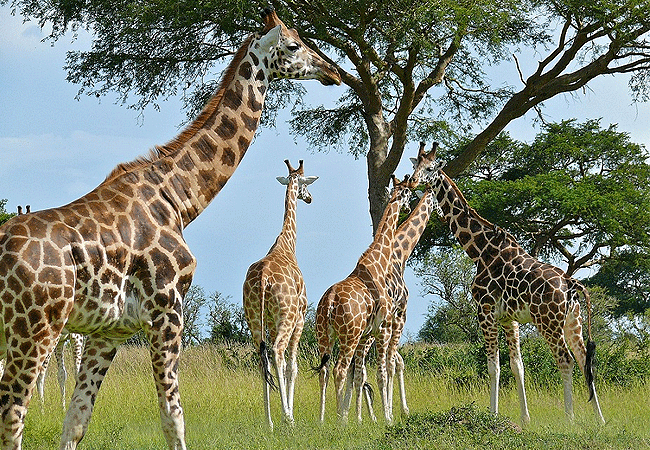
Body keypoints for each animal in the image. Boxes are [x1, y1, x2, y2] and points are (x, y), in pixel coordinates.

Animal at [242, 158, 316, 428]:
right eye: (305, 183)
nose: (310, 198)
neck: (287, 243)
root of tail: (264, 278)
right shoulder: (301, 317)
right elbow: (292, 365)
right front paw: (290, 413)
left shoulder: (271, 321)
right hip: (287, 315)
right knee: (277, 352)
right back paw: (286, 418)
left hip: (253, 315)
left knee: (262, 356)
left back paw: (269, 421)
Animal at [312, 174, 416, 424]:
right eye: (408, 192)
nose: (409, 206)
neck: (376, 262)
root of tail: (329, 303)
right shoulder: (383, 327)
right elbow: (381, 371)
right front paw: (386, 417)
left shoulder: (368, 333)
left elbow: (361, 373)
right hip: (348, 336)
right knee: (340, 369)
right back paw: (341, 420)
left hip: (324, 334)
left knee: (325, 370)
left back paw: (322, 419)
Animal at [412, 145, 604, 426]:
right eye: (415, 165)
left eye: (429, 168)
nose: (413, 180)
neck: (480, 251)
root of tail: (571, 283)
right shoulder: (508, 318)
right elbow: (517, 366)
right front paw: (525, 418)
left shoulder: (485, 311)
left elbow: (494, 366)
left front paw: (492, 415)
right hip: (573, 322)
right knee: (583, 360)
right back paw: (600, 419)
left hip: (548, 322)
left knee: (565, 360)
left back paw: (569, 418)